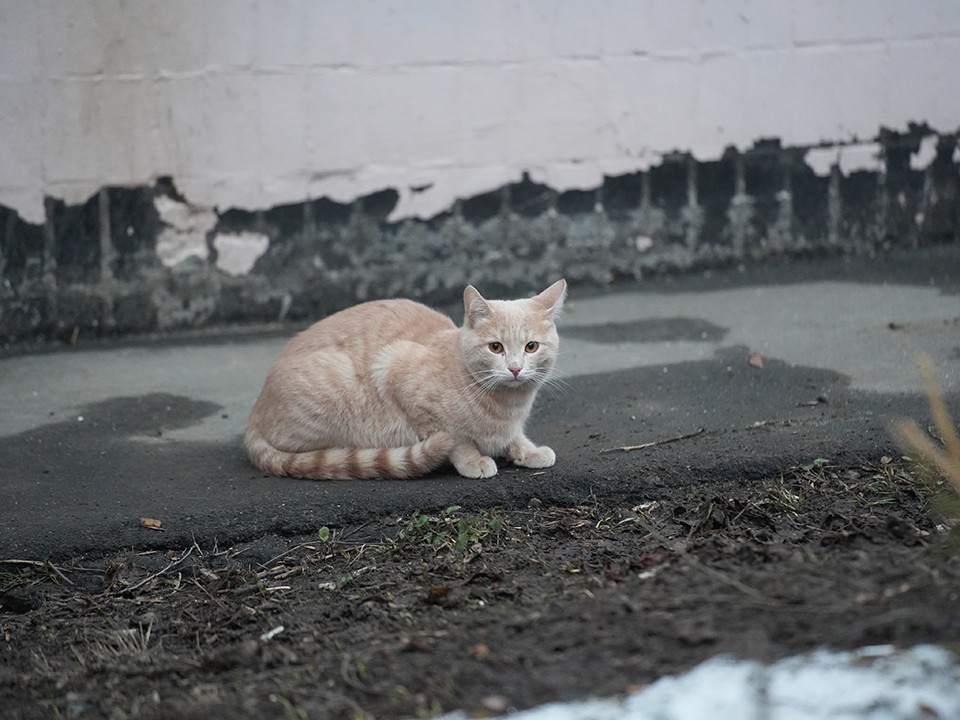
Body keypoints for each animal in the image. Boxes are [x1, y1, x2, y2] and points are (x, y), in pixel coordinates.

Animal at [244, 278, 568, 480]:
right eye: (496, 347)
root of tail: (254, 414)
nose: (515, 369)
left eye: (531, 347)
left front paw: (528, 450)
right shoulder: (397, 372)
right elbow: (456, 440)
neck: (508, 406)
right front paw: (473, 459)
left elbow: (515, 437)